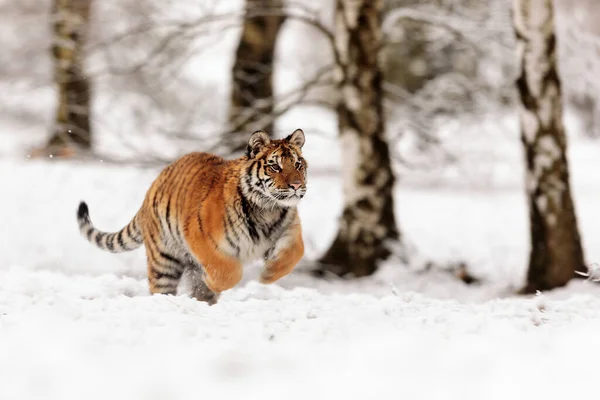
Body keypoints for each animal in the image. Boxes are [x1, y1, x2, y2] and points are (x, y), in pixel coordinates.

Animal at [75, 130, 308, 304]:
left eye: (298, 164)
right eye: (275, 166)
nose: (296, 185)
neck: (268, 208)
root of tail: (152, 187)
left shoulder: (290, 231)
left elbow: (294, 254)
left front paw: (267, 275)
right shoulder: (200, 235)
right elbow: (227, 271)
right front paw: (212, 281)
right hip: (164, 261)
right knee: (161, 289)